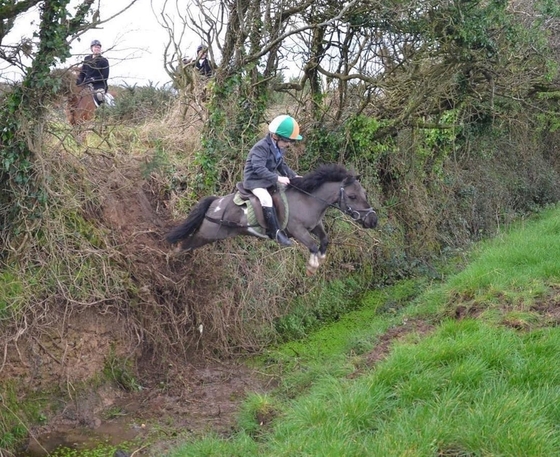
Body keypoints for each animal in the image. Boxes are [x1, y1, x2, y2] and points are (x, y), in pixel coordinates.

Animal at [164, 164, 378, 272]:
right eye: (352, 196)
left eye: (365, 193)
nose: (373, 220)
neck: (308, 198)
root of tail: (215, 202)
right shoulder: (297, 231)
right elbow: (312, 245)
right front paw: (312, 266)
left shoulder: (315, 225)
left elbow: (324, 240)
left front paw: (322, 258)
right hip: (207, 234)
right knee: (187, 243)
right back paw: (171, 255)